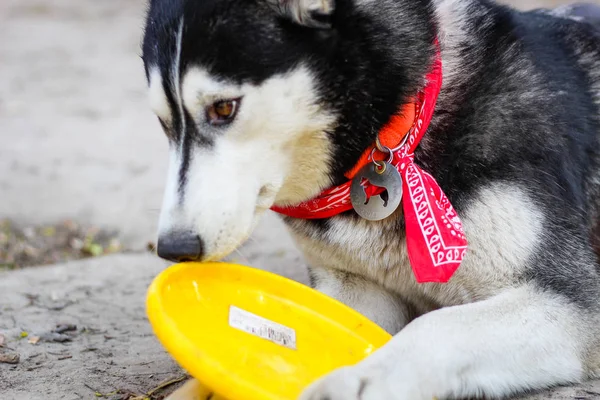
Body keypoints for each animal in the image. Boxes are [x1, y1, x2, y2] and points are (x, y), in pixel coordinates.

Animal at [144, 0, 600, 398]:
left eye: (223, 109)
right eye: (163, 123)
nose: (174, 247)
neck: (402, 131)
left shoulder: (569, 301)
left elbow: (437, 327)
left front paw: (363, 378)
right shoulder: (354, 288)